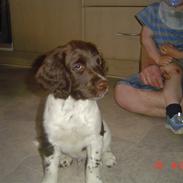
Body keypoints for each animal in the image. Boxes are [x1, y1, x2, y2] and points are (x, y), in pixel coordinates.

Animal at [35, 40, 116, 183]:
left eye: (99, 62)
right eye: (77, 66)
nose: (105, 85)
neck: (74, 106)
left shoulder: (95, 138)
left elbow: (92, 165)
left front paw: (94, 179)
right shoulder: (50, 141)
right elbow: (50, 169)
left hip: (105, 129)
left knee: (106, 146)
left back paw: (107, 157)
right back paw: (64, 158)